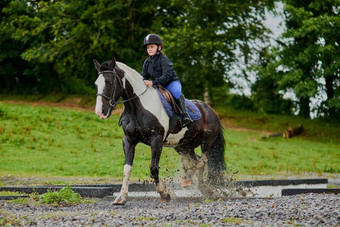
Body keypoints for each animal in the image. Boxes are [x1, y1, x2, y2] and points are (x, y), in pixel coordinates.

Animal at [93, 57, 226, 205]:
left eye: (109, 82)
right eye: (96, 84)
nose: (100, 112)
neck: (137, 107)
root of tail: (211, 111)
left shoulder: (156, 140)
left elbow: (153, 168)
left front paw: (164, 193)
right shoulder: (128, 140)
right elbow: (127, 168)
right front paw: (121, 197)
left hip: (206, 141)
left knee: (203, 161)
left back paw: (190, 181)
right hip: (184, 146)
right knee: (198, 162)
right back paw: (202, 187)